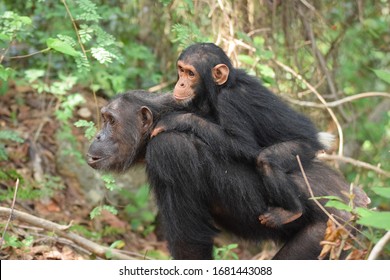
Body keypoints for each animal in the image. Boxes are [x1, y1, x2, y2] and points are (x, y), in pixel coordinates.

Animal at [86, 91, 368, 260]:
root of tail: (358, 202)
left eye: (111, 121)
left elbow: (189, 244)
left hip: (329, 234)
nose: (98, 136)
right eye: (104, 118)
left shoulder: (170, 151)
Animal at [154, 43, 330, 228]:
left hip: (304, 147)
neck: (222, 87)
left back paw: (292, 211)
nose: (180, 83)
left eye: (191, 74)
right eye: (181, 70)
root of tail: (318, 138)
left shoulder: (229, 101)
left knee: (267, 160)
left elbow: (242, 144)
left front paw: (176, 120)